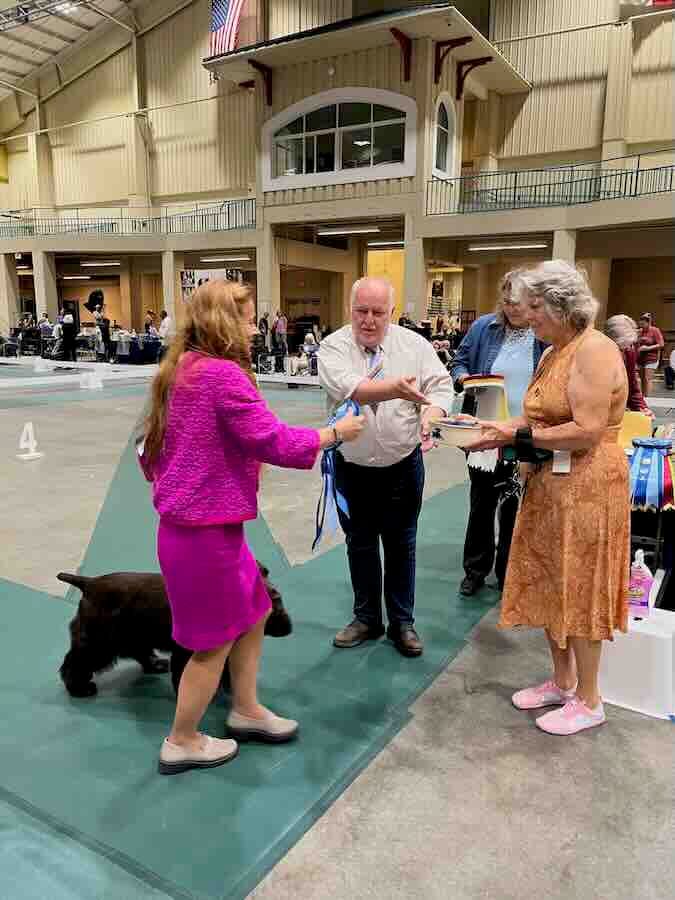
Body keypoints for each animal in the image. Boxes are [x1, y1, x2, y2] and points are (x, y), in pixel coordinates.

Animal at [58, 562, 290, 698]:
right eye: (273, 603)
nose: (287, 628)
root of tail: (89, 583)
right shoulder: (186, 653)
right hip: (98, 641)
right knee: (75, 663)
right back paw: (79, 688)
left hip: (132, 635)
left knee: (140, 651)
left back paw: (155, 664)